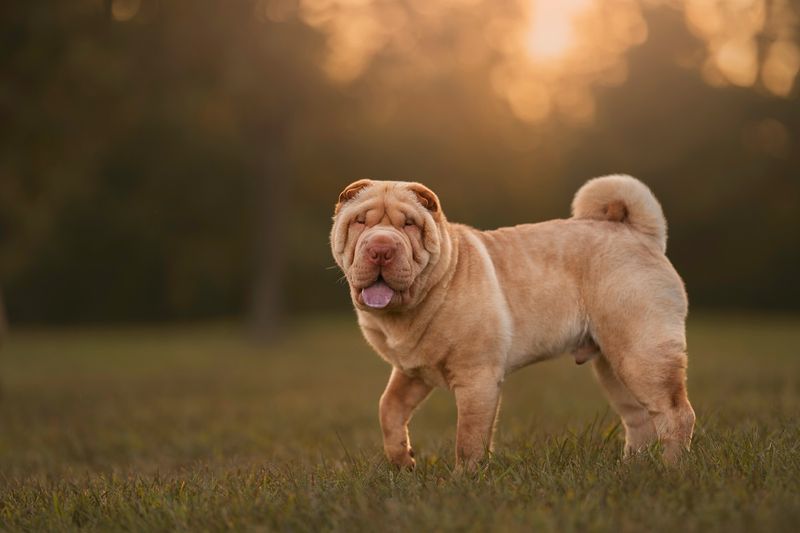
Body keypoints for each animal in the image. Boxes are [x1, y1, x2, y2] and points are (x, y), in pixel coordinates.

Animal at [330, 176, 692, 470]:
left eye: (408, 225)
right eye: (359, 222)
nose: (381, 247)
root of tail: (639, 234)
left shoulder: (477, 379)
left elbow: (469, 439)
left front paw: (465, 480)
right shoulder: (411, 372)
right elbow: (388, 409)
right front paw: (403, 461)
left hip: (641, 353)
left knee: (674, 413)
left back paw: (670, 469)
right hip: (613, 365)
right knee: (640, 417)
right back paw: (632, 468)